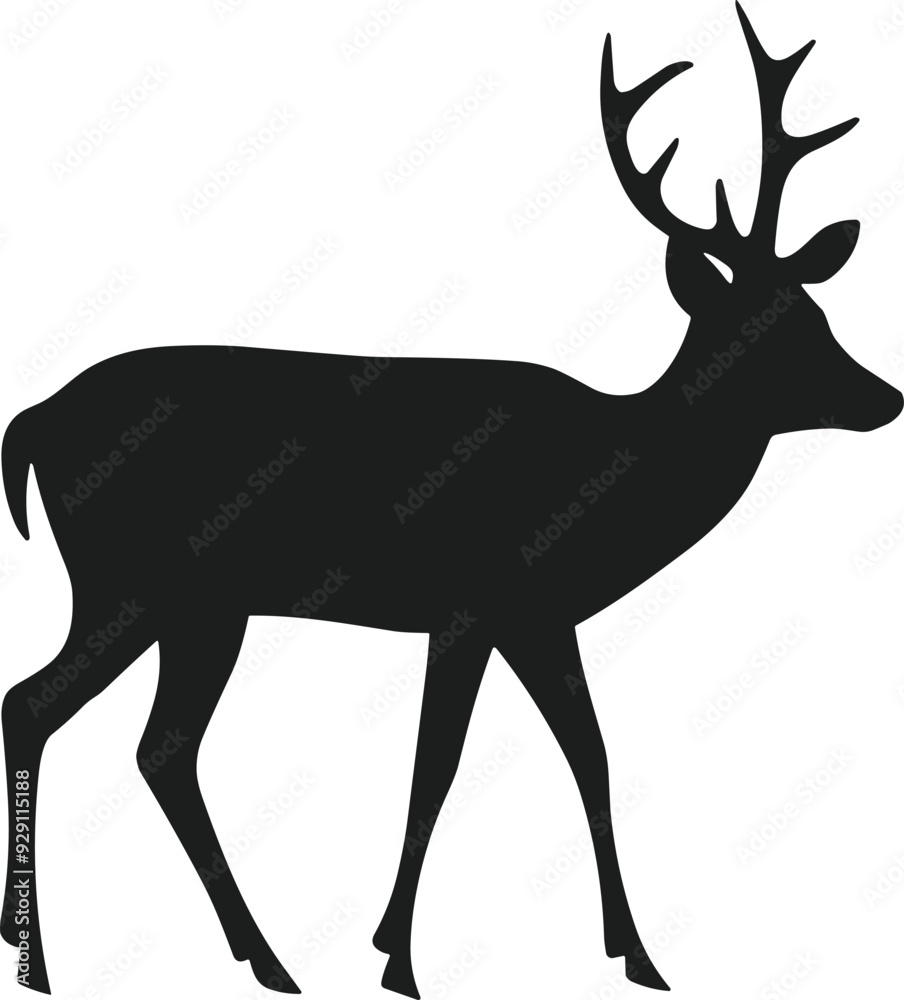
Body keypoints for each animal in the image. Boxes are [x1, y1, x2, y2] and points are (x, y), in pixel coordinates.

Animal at [0, 3, 900, 997]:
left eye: (817, 315)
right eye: (769, 334)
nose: (886, 397)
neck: (607, 481)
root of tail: (31, 421)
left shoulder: (539, 614)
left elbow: (590, 753)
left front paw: (638, 954)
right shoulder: (472, 599)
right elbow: (438, 766)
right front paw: (397, 957)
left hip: (189, 604)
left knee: (145, 741)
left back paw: (231, 955)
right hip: (135, 583)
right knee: (52, 710)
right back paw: (56, 958)